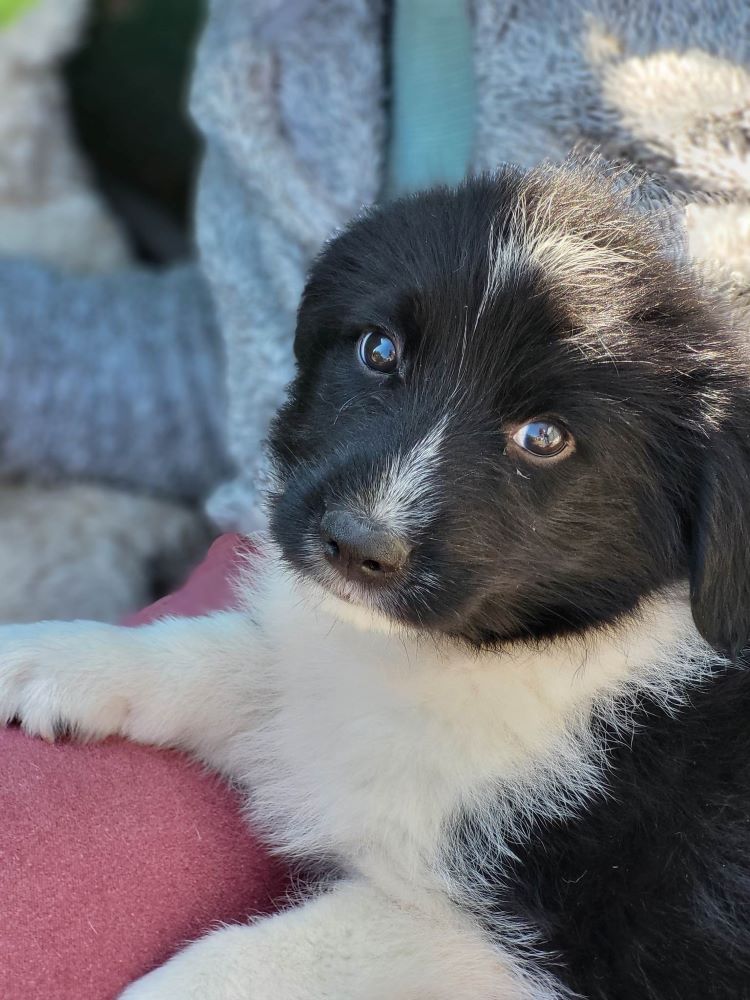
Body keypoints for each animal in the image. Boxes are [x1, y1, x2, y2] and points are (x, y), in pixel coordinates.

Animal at [1, 160, 750, 996]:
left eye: (544, 437)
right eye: (379, 350)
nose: (357, 544)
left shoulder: (529, 948)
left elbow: (261, 958)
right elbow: (236, 663)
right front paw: (54, 658)